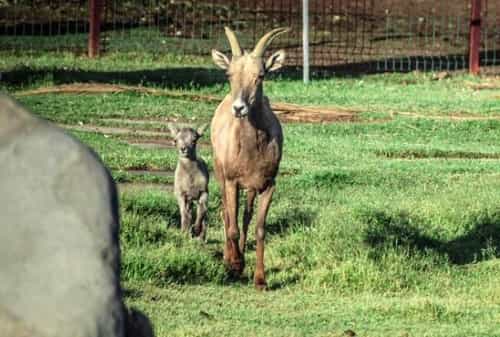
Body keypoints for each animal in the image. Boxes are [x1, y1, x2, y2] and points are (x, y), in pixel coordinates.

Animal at [211, 26, 290, 288]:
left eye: (261, 75)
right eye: (229, 74)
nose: (239, 108)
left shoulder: (268, 184)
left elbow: (259, 228)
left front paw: (260, 280)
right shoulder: (232, 181)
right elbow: (232, 224)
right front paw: (234, 264)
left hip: (251, 188)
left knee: (245, 215)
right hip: (219, 173)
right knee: (226, 213)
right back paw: (230, 258)